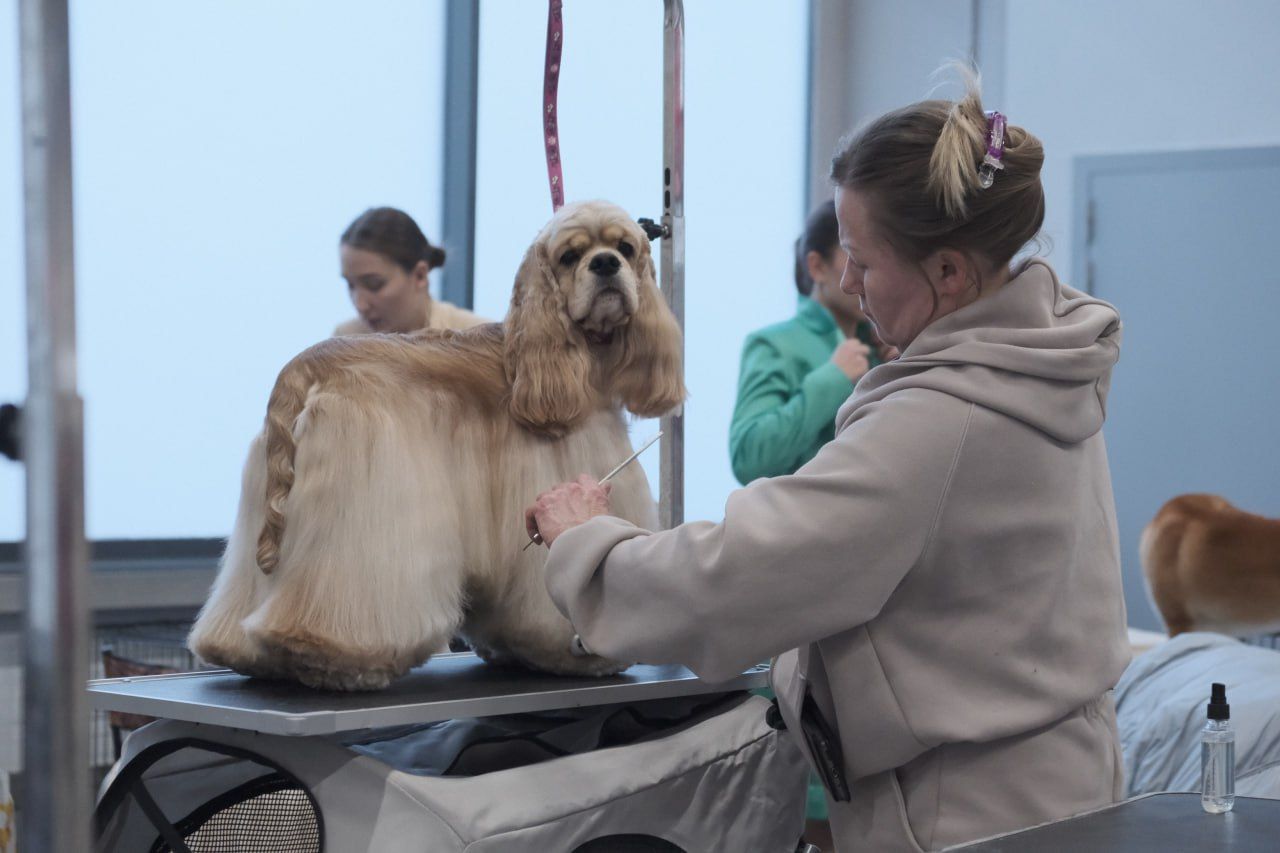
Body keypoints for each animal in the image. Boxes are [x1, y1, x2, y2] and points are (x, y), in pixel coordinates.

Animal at [186, 202, 686, 686]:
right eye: (569, 256)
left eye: (625, 247)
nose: (605, 264)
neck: (567, 355)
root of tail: (304, 366)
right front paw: (579, 654)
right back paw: (338, 659)